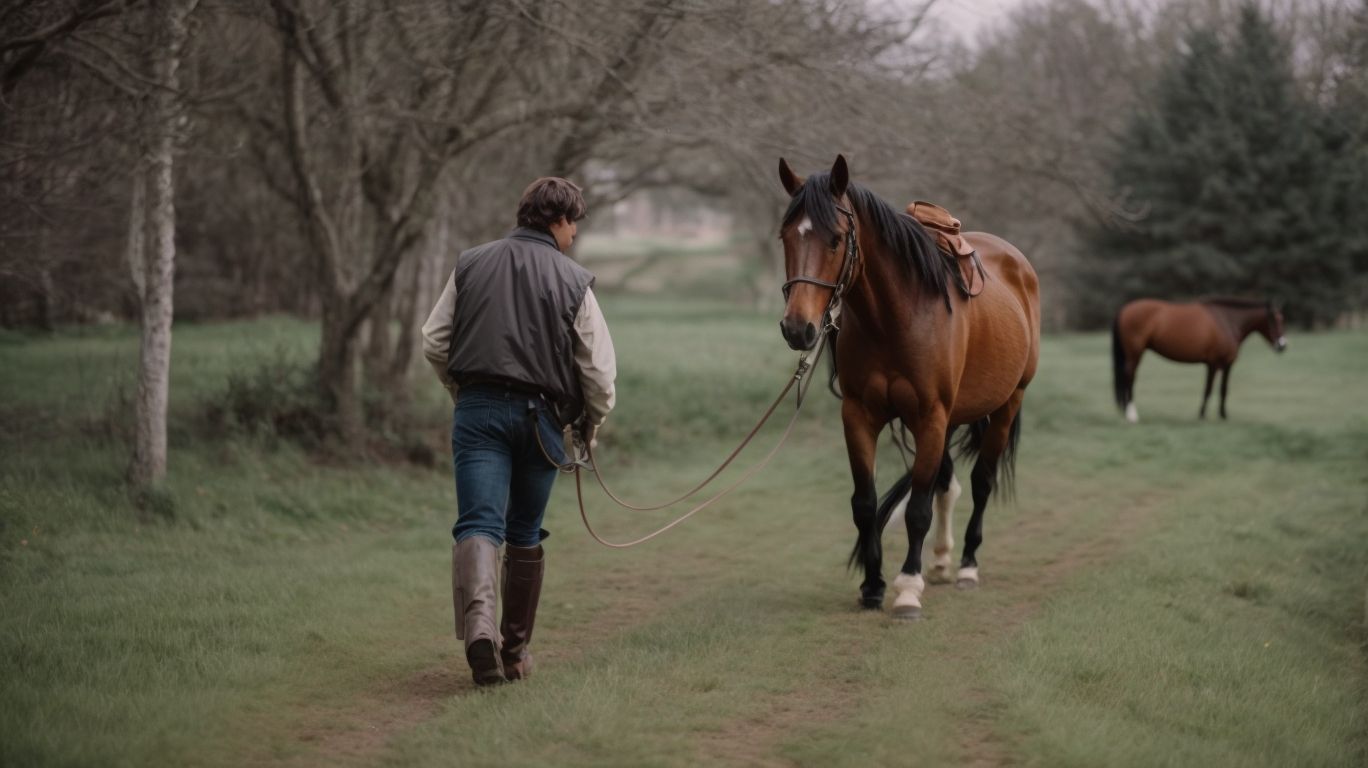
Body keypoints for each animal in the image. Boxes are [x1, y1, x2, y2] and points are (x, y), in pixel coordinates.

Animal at [776, 155, 1040, 619]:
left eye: (836, 239)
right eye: (786, 236)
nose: (797, 328)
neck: (895, 317)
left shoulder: (930, 416)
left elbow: (917, 509)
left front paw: (907, 589)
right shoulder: (860, 416)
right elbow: (865, 504)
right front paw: (873, 585)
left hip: (1006, 404)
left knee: (981, 482)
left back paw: (967, 566)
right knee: (947, 485)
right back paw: (940, 561)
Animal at [1111, 298, 1286, 423]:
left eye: (1281, 319)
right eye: (1275, 320)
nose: (1283, 345)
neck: (1226, 321)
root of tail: (1124, 309)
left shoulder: (1226, 364)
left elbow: (1223, 389)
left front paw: (1223, 415)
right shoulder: (1214, 364)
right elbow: (1208, 389)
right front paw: (1202, 415)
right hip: (1134, 355)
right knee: (1129, 378)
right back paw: (1132, 415)